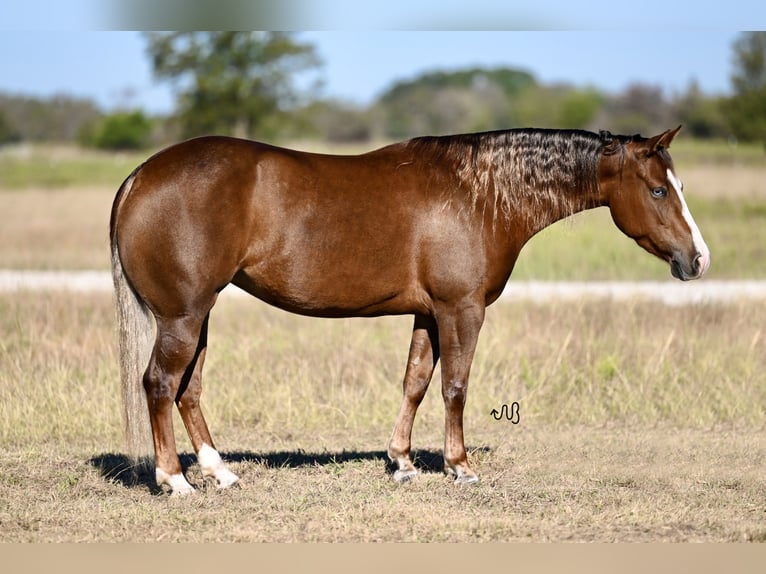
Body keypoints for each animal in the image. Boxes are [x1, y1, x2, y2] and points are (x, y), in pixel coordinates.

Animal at [111, 128, 712, 498]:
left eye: (678, 186)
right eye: (658, 190)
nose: (698, 260)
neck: (479, 195)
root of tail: (141, 175)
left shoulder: (428, 314)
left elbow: (416, 383)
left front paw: (401, 462)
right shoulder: (461, 310)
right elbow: (455, 388)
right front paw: (460, 466)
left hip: (199, 315)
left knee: (188, 389)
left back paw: (220, 472)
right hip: (184, 316)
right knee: (160, 383)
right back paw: (175, 480)